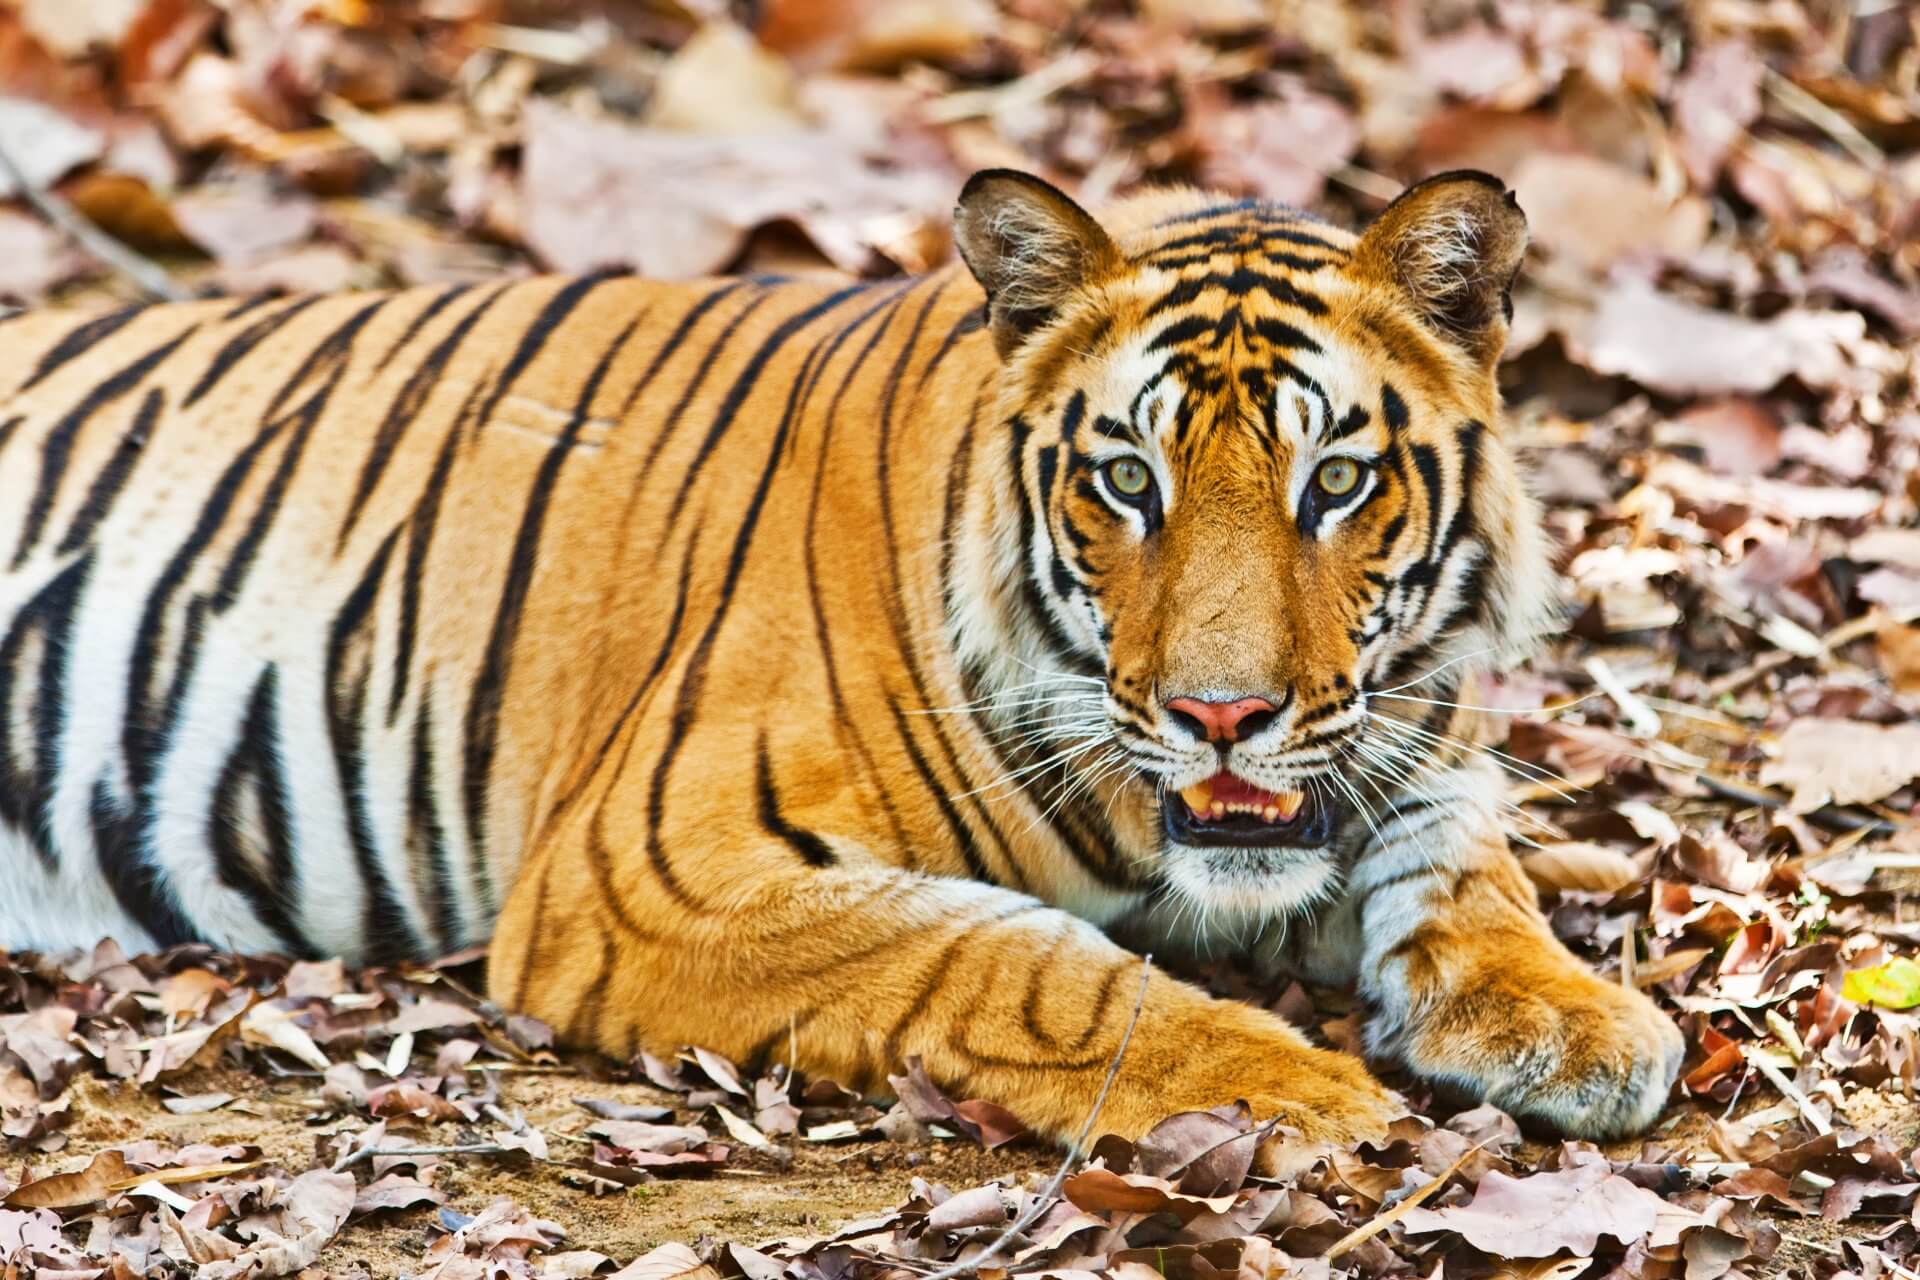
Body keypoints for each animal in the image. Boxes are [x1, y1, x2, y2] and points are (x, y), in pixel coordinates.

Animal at [0, 167, 1681, 1143]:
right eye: (1125, 479)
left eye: (1333, 481)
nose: (1223, 715)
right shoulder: (648, 873)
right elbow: (1013, 962)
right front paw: (1295, 1086)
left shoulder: (1408, 741)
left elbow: (1466, 863)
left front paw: (1577, 1020)